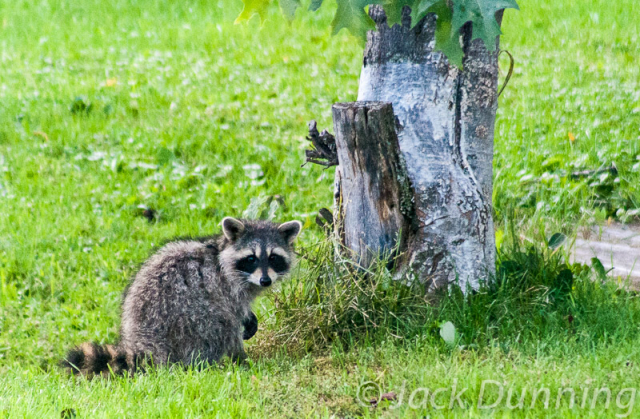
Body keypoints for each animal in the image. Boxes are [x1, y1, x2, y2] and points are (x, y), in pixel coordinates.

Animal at [61, 217, 302, 378]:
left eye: (273, 257)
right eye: (251, 258)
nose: (265, 281)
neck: (220, 253)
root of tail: (146, 341)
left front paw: (250, 318)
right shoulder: (224, 286)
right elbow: (233, 311)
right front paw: (244, 331)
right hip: (190, 319)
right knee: (222, 325)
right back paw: (237, 359)